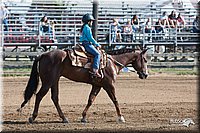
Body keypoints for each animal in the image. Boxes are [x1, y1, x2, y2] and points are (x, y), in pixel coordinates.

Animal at [17, 47, 148, 123]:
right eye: (145, 60)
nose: (145, 75)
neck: (112, 63)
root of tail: (43, 55)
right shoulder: (109, 85)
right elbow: (115, 100)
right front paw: (121, 117)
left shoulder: (97, 85)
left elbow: (91, 100)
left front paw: (83, 117)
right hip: (48, 81)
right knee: (39, 96)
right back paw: (33, 117)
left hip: (54, 81)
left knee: (55, 98)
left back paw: (64, 118)